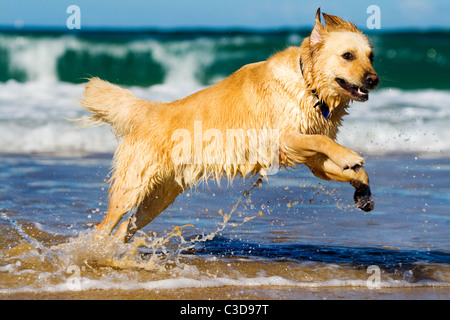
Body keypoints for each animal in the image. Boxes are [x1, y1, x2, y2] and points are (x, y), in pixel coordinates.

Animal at [81, 8, 380, 242]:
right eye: (348, 55)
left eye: (371, 56)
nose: (374, 80)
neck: (308, 85)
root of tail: (151, 110)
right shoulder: (280, 138)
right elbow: (323, 140)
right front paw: (349, 156)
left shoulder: (314, 161)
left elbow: (348, 166)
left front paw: (362, 191)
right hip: (131, 188)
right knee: (104, 227)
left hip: (159, 199)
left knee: (124, 230)